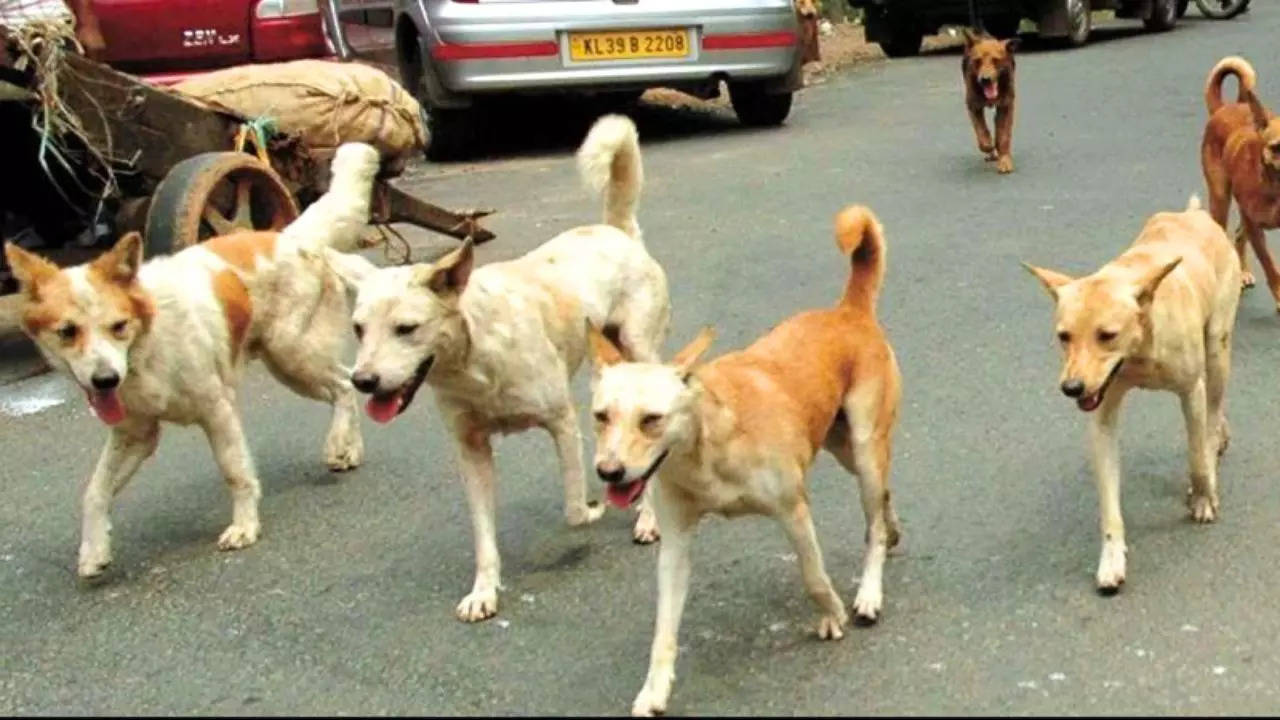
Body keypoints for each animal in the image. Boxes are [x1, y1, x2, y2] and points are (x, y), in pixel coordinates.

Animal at [6, 140, 384, 576]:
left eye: (118, 326)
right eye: (67, 332)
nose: (105, 381)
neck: (147, 344)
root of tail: (287, 237)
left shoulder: (216, 409)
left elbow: (235, 472)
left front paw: (245, 526)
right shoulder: (135, 433)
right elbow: (94, 491)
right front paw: (93, 549)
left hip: (291, 353)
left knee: (343, 384)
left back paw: (338, 443)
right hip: (289, 360)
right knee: (345, 382)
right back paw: (350, 449)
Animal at [345, 114, 675, 620]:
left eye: (407, 328)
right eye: (359, 329)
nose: (362, 381)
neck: (475, 359)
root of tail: (614, 231)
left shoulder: (561, 422)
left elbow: (574, 509)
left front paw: (595, 509)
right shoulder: (471, 450)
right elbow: (484, 537)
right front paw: (483, 591)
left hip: (640, 346)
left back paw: (648, 518)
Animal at [962, 28, 1018, 175]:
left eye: (996, 60)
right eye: (977, 61)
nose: (985, 79)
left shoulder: (1006, 106)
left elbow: (1003, 136)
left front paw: (1004, 160)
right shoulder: (973, 106)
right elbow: (981, 130)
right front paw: (987, 145)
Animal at [1018, 194, 1239, 594]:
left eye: (1107, 335)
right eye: (1064, 336)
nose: (1071, 388)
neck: (1139, 347)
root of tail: (1194, 214)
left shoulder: (1191, 392)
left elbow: (1197, 457)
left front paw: (1203, 494)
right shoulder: (1102, 415)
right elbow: (1109, 504)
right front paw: (1111, 557)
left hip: (1218, 348)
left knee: (1213, 412)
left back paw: (1213, 448)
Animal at [1198, 53, 1280, 302]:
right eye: (1276, 147)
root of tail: (1224, 108)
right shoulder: (1256, 229)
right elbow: (1271, 268)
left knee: (1238, 235)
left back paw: (1242, 272)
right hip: (1220, 200)